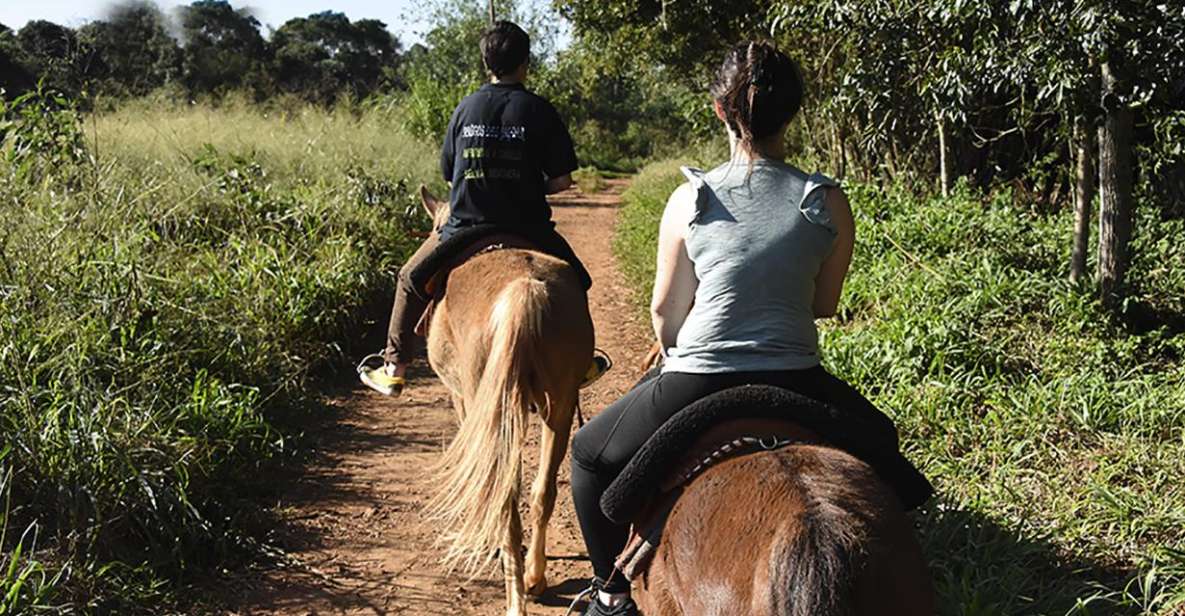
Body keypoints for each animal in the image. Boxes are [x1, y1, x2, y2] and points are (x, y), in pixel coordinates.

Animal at [419, 187, 597, 616]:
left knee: (503, 498)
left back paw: (515, 594)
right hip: (559, 405)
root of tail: (523, 293)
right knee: (542, 492)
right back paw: (534, 578)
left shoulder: (463, 401)